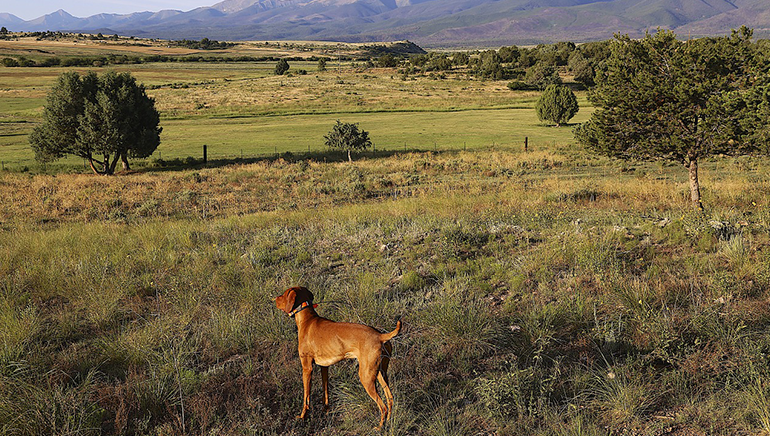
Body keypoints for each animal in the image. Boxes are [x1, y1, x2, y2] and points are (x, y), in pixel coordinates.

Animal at [272, 286, 400, 430]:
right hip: (380, 373)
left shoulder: (307, 368)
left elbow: (306, 396)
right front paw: (326, 411)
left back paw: (379, 427)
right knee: (390, 398)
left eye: (284, 294)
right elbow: (325, 391)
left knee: (382, 406)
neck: (307, 320)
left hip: (366, 377)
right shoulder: (324, 367)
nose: (274, 299)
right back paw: (388, 421)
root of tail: (380, 336)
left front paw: (303, 416)